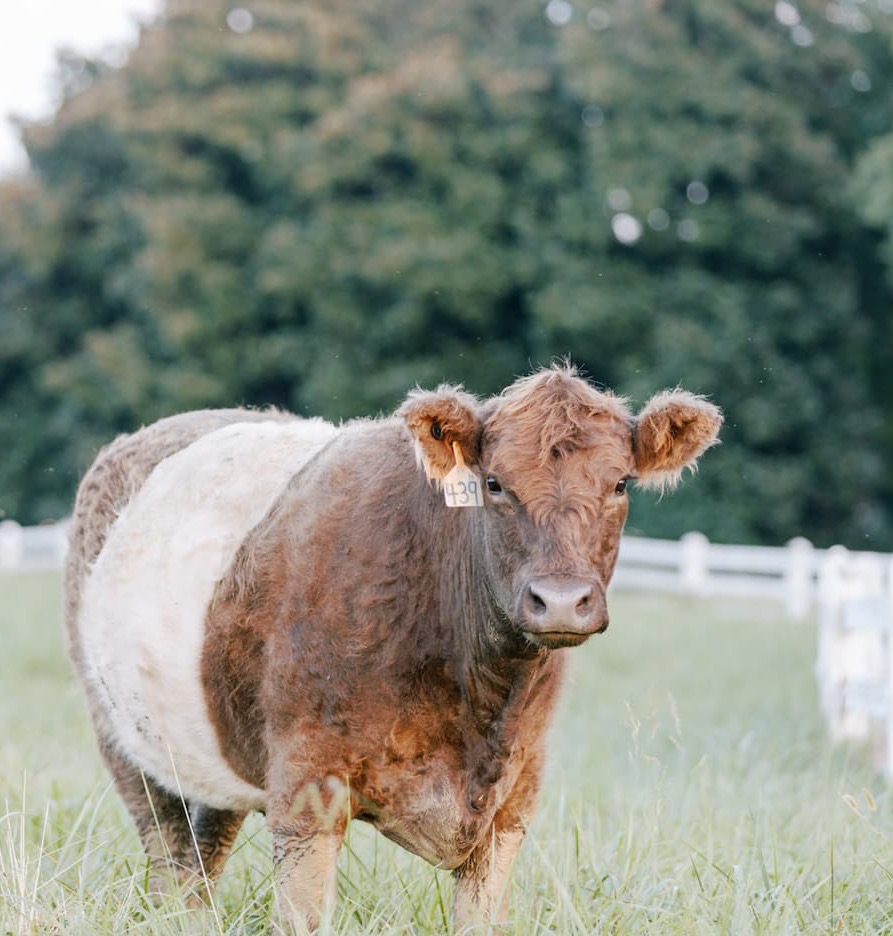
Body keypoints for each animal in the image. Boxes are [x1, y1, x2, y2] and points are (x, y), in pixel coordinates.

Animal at [64, 365, 721, 932]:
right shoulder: (307, 793)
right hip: (122, 741)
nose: (561, 601)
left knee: (202, 855)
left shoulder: (514, 801)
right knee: (169, 854)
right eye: (493, 483)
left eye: (620, 483)